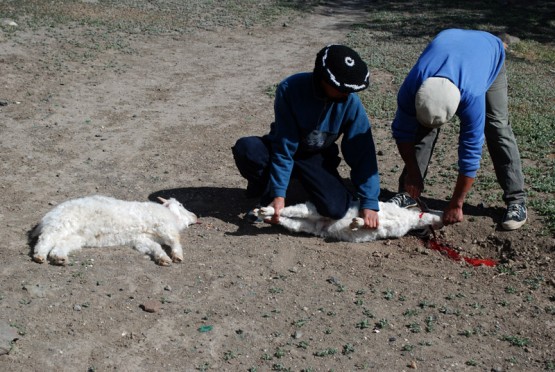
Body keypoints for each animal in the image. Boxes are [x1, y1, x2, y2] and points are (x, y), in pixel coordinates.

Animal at [32, 196, 198, 266]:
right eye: (181, 205)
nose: (195, 216)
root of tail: (47, 218)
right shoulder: (164, 226)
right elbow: (175, 240)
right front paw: (177, 256)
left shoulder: (141, 239)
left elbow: (155, 247)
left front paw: (163, 258)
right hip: (61, 225)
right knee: (45, 240)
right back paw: (40, 256)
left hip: (74, 237)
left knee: (59, 245)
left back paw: (59, 258)